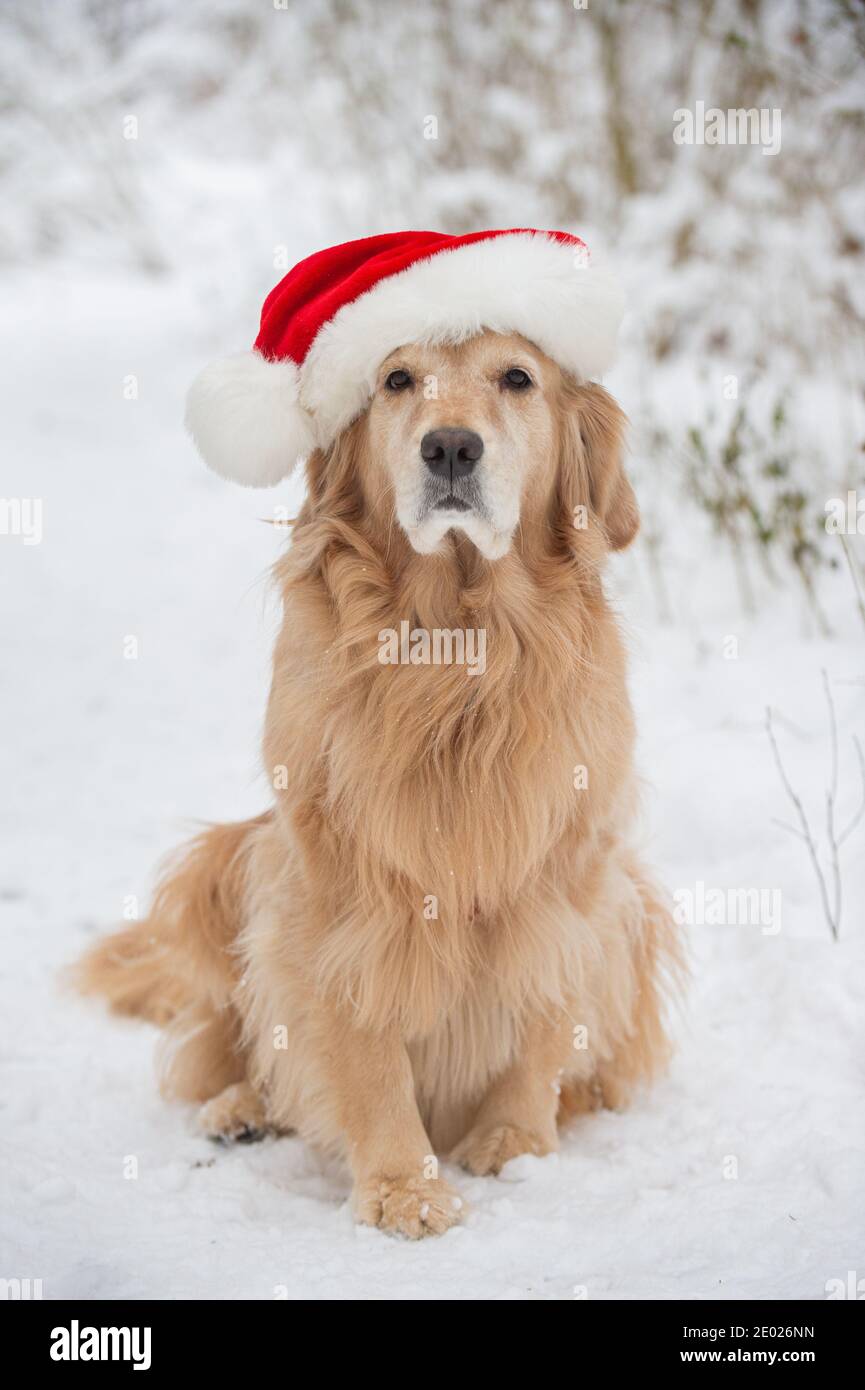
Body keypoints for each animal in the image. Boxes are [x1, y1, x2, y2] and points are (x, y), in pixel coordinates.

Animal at [76, 230, 684, 1239]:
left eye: (517, 378)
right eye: (397, 380)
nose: (450, 446)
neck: (456, 652)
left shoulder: (572, 876)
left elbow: (542, 1016)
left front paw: (516, 1145)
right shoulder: (337, 890)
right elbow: (362, 1051)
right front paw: (404, 1186)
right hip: (229, 860)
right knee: (233, 1044)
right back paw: (242, 1107)